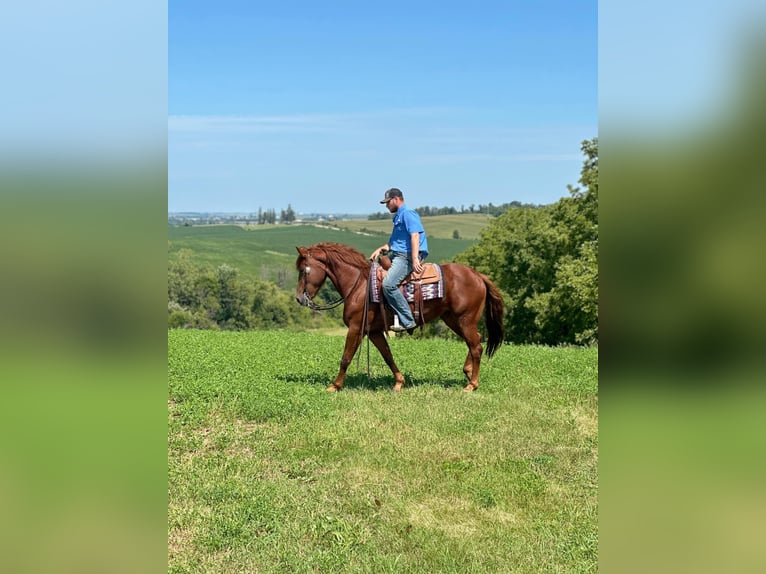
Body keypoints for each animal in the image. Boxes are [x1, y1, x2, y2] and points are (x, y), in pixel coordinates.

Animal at [295, 242, 504, 392]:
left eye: (303, 270)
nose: (298, 298)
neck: (359, 285)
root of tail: (477, 275)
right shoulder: (374, 331)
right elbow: (388, 355)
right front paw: (399, 382)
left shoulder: (355, 328)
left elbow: (346, 358)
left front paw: (335, 385)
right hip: (453, 320)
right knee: (475, 341)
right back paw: (468, 372)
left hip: (465, 319)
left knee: (476, 346)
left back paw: (472, 384)